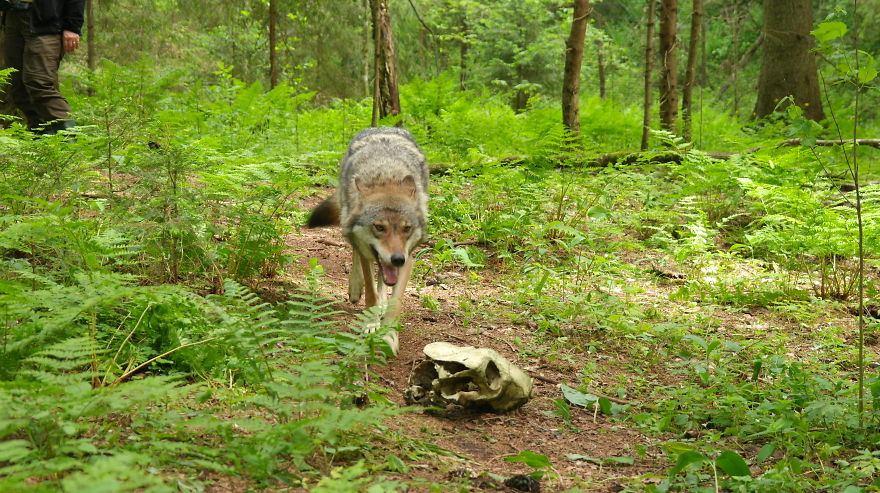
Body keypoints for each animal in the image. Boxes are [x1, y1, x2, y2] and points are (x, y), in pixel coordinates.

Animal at [307, 127, 429, 356]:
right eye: (379, 227)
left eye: (406, 229)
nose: (397, 259)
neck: (386, 176)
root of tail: (384, 127)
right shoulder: (367, 252)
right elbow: (370, 293)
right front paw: (371, 323)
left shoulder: (409, 258)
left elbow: (395, 303)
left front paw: (389, 336)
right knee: (356, 255)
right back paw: (355, 288)